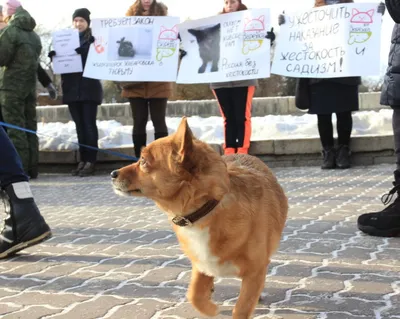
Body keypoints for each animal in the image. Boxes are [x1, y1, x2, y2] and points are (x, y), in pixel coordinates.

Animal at [111, 117, 290, 319]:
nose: (112, 174)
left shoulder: (254, 272)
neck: (205, 210)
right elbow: (194, 294)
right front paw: (210, 308)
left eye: (143, 161)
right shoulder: (201, 264)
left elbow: (242, 307)